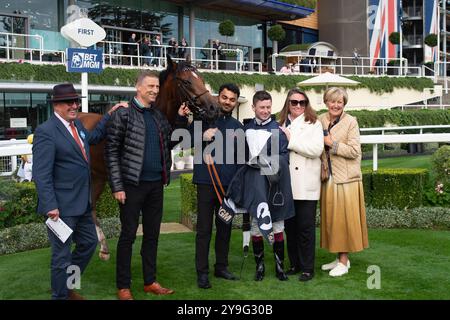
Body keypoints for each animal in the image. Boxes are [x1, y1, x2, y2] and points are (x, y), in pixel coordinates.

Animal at [78, 55, 220, 260]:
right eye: (186, 82)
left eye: (201, 78)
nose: (213, 107)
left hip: (97, 177)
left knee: (91, 207)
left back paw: (102, 247)